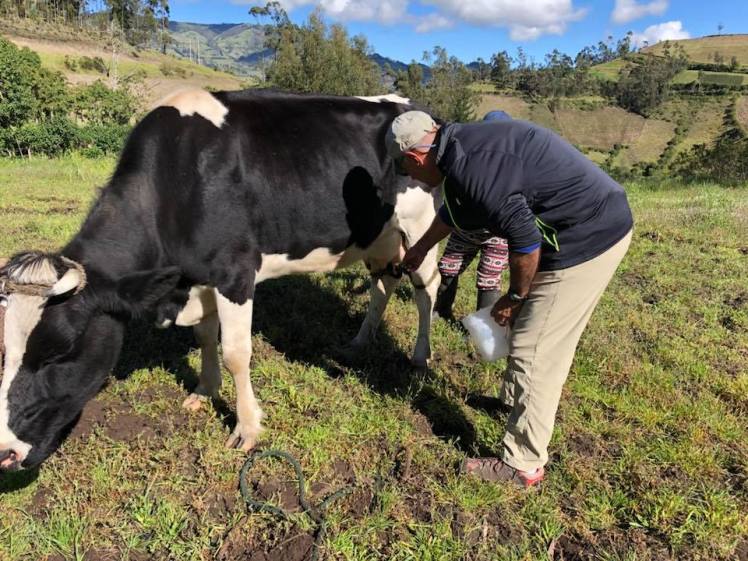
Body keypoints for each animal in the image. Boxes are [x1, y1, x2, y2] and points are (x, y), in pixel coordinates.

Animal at [0, 89, 441, 471]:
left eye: (58, 353)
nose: (5, 453)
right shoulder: (200, 278)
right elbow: (204, 337)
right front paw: (203, 391)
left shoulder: (235, 271)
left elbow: (235, 352)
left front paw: (247, 429)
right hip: (379, 238)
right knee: (384, 285)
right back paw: (359, 342)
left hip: (421, 230)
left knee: (427, 290)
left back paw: (420, 357)